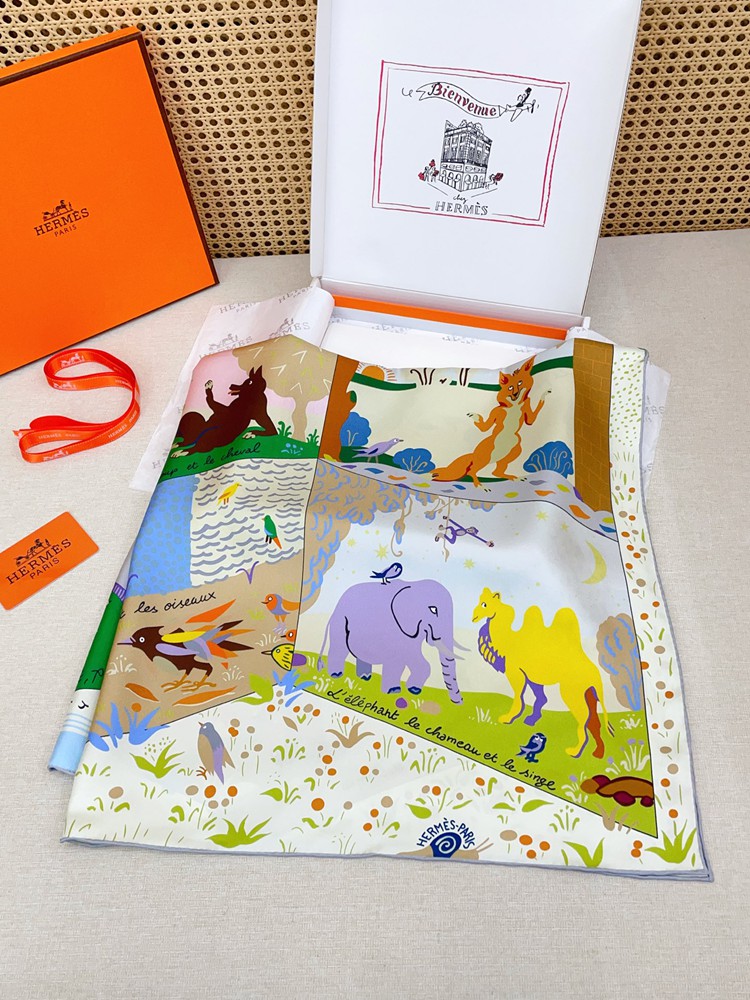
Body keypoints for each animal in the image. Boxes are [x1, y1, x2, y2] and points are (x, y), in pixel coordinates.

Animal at [318, 577, 463, 704]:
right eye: (433, 609)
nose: (459, 702)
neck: (415, 585)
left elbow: (416, 658)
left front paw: (414, 690)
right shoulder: (399, 627)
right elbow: (397, 659)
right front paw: (393, 691)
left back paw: (365, 677)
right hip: (341, 621)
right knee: (339, 649)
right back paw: (336, 675)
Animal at [432, 358, 545, 488]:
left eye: (520, 382)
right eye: (510, 387)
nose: (515, 394)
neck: (514, 405)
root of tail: (473, 454)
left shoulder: (527, 407)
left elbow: (532, 418)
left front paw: (545, 394)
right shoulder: (496, 411)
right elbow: (484, 427)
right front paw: (475, 417)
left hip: (516, 449)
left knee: (495, 472)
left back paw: (513, 477)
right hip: (485, 456)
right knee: (472, 470)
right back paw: (479, 484)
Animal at [472, 588, 613, 758]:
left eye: (484, 604)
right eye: (480, 600)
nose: (474, 616)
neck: (508, 640)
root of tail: (595, 673)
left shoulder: (515, 671)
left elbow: (519, 697)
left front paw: (507, 718)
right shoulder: (531, 676)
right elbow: (540, 698)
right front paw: (530, 720)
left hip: (571, 691)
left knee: (584, 718)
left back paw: (574, 751)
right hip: (588, 694)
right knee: (593, 721)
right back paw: (597, 753)